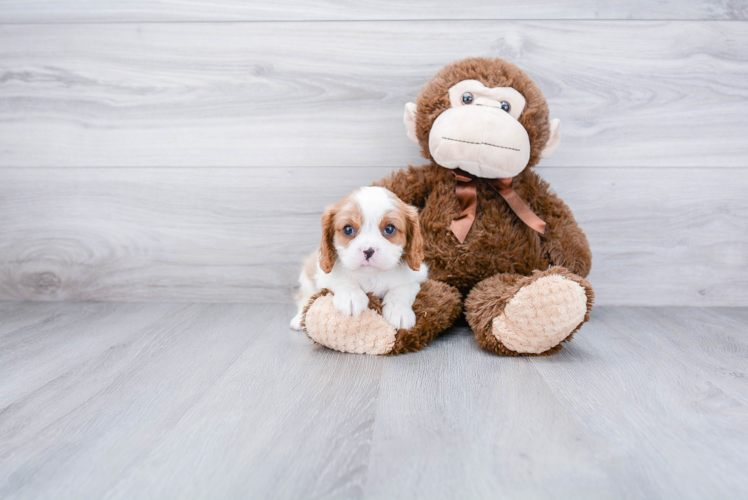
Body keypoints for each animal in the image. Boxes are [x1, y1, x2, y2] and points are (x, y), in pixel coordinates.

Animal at [290, 186, 426, 330]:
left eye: (389, 228)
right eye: (348, 229)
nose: (368, 251)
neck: (370, 275)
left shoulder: (417, 276)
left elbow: (402, 288)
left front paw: (398, 311)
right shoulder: (324, 275)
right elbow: (340, 278)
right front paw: (351, 297)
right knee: (305, 296)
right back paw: (299, 319)